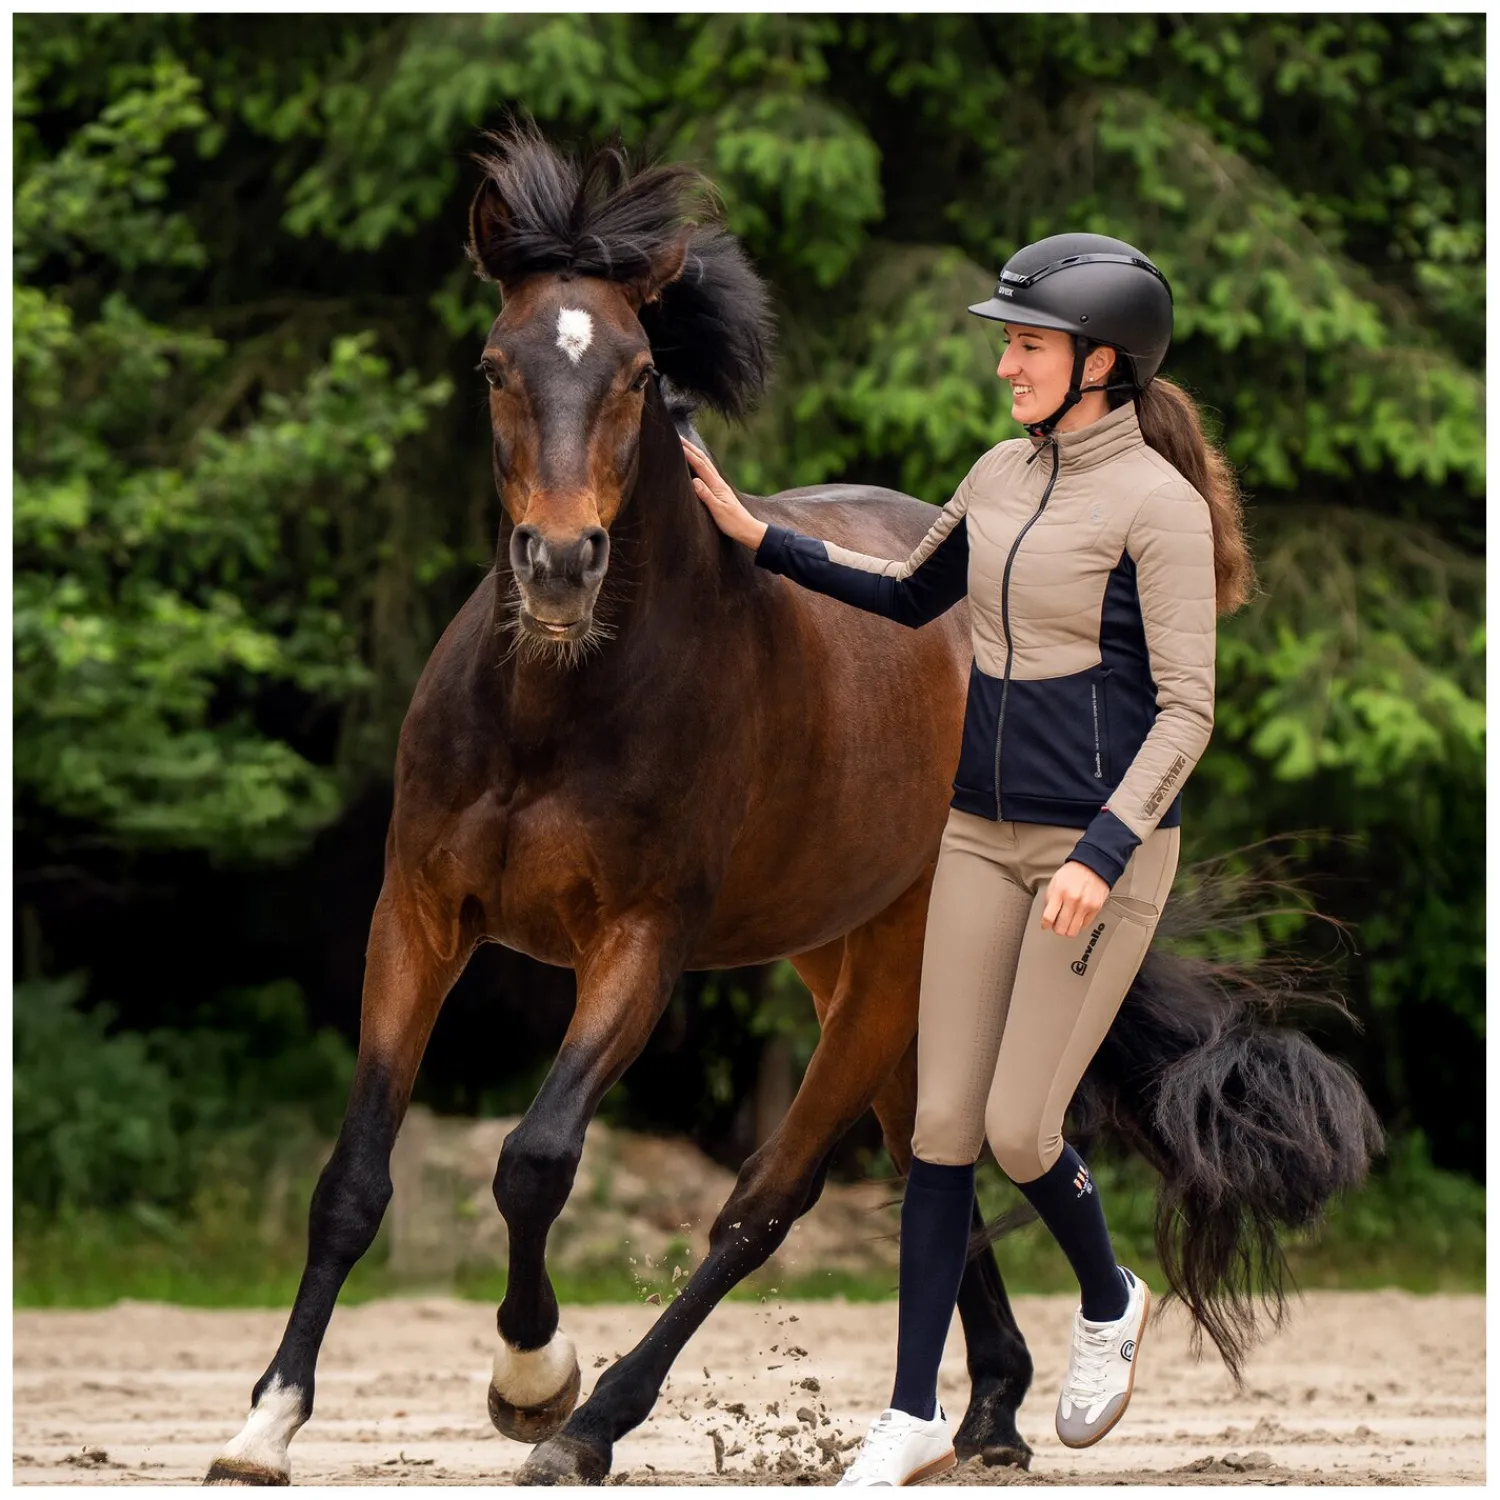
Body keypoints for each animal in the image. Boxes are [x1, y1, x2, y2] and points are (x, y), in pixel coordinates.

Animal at [205, 124, 1381, 1486]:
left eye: (637, 372)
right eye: (497, 367)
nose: (560, 567)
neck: (554, 706)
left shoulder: (640, 946)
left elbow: (537, 1161)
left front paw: (534, 1381)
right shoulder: (419, 917)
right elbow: (353, 1175)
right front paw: (266, 1422)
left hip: (894, 968)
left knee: (781, 1197)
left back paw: (606, 1423)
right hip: (852, 962)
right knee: (938, 1154)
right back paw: (987, 1412)